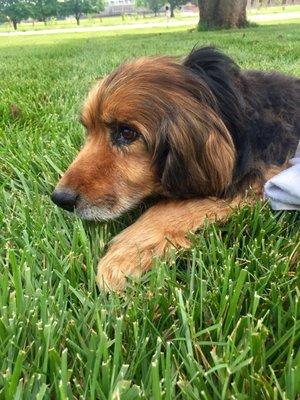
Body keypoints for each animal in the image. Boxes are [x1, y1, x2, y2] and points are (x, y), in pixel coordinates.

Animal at [51, 46, 300, 290]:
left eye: (127, 133)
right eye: (88, 130)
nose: (60, 198)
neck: (227, 110)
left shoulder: (262, 176)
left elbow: (176, 205)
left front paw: (125, 254)